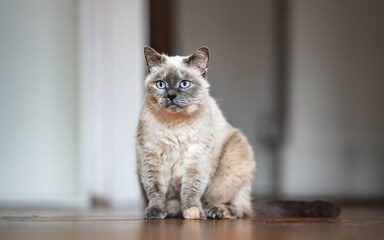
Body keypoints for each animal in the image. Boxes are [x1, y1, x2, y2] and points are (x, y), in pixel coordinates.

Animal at [136, 45, 340, 219]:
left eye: (184, 84)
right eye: (161, 85)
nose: (171, 96)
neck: (175, 124)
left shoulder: (196, 158)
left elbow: (190, 190)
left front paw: (193, 212)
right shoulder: (151, 157)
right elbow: (155, 189)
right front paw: (155, 213)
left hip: (235, 161)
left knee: (239, 209)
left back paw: (214, 212)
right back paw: (173, 211)